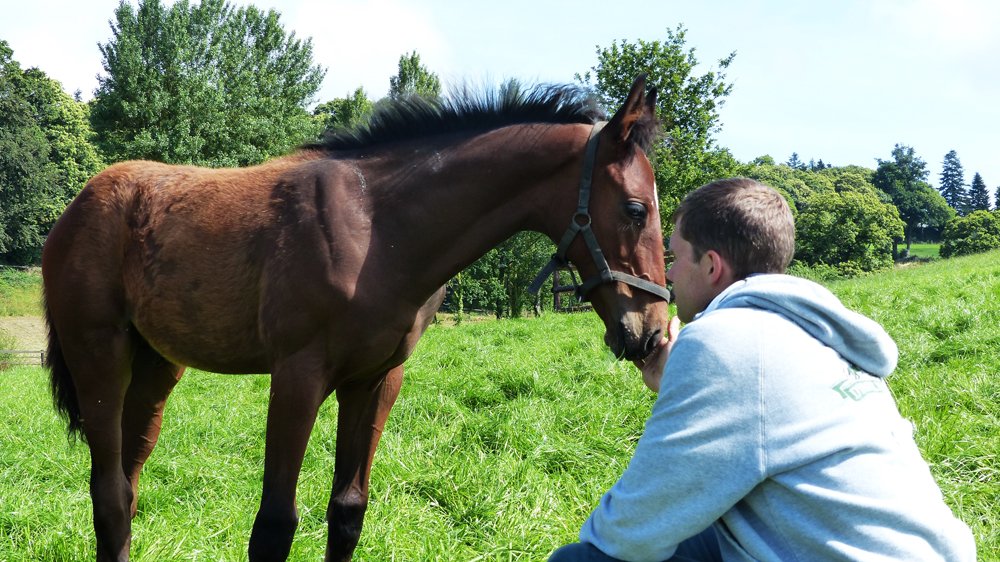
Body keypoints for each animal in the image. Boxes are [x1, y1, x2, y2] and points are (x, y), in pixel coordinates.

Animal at [41, 75, 670, 561]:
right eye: (636, 209)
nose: (651, 333)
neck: (376, 229)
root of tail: (77, 207)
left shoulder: (376, 379)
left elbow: (347, 511)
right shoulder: (298, 375)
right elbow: (274, 525)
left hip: (156, 368)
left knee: (127, 482)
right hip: (100, 357)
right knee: (110, 493)